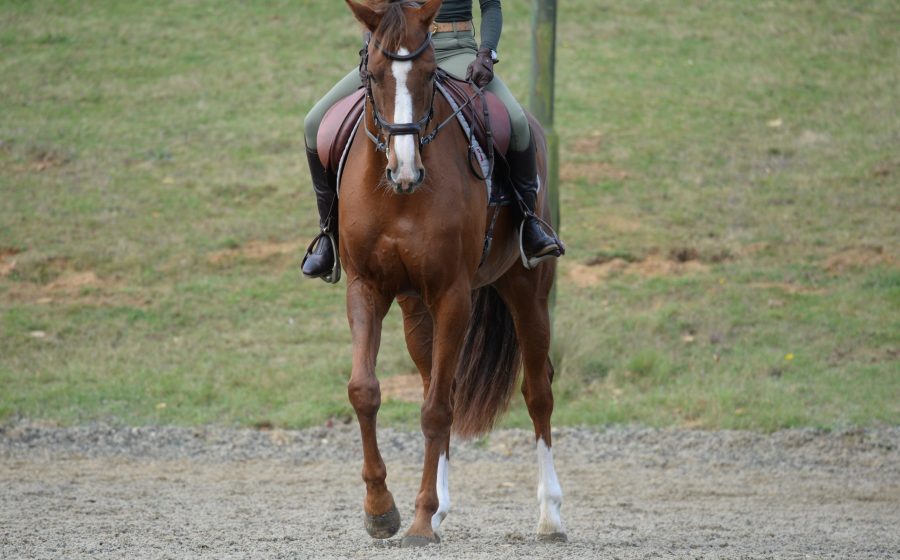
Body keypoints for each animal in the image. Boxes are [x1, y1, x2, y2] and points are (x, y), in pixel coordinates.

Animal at [342, 0, 568, 544]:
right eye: (374, 74)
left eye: (428, 75)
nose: (405, 171)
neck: (399, 197)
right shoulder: (366, 287)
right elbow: (366, 391)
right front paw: (382, 511)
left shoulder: (452, 295)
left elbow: (439, 409)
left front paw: (421, 519)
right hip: (414, 307)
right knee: (434, 381)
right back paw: (442, 505)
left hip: (527, 289)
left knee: (537, 391)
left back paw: (549, 515)